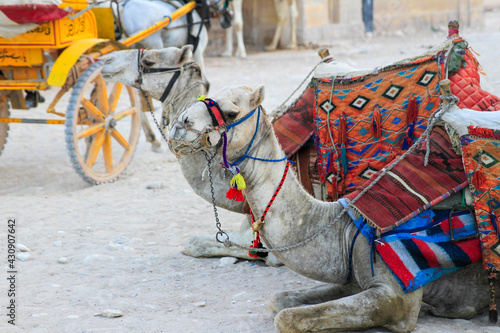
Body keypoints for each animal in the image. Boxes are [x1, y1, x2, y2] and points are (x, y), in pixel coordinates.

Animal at [170, 85, 500, 332]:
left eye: (231, 112)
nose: (180, 123)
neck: (344, 227)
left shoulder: (397, 296)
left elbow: (288, 318)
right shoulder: (351, 278)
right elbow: (280, 300)